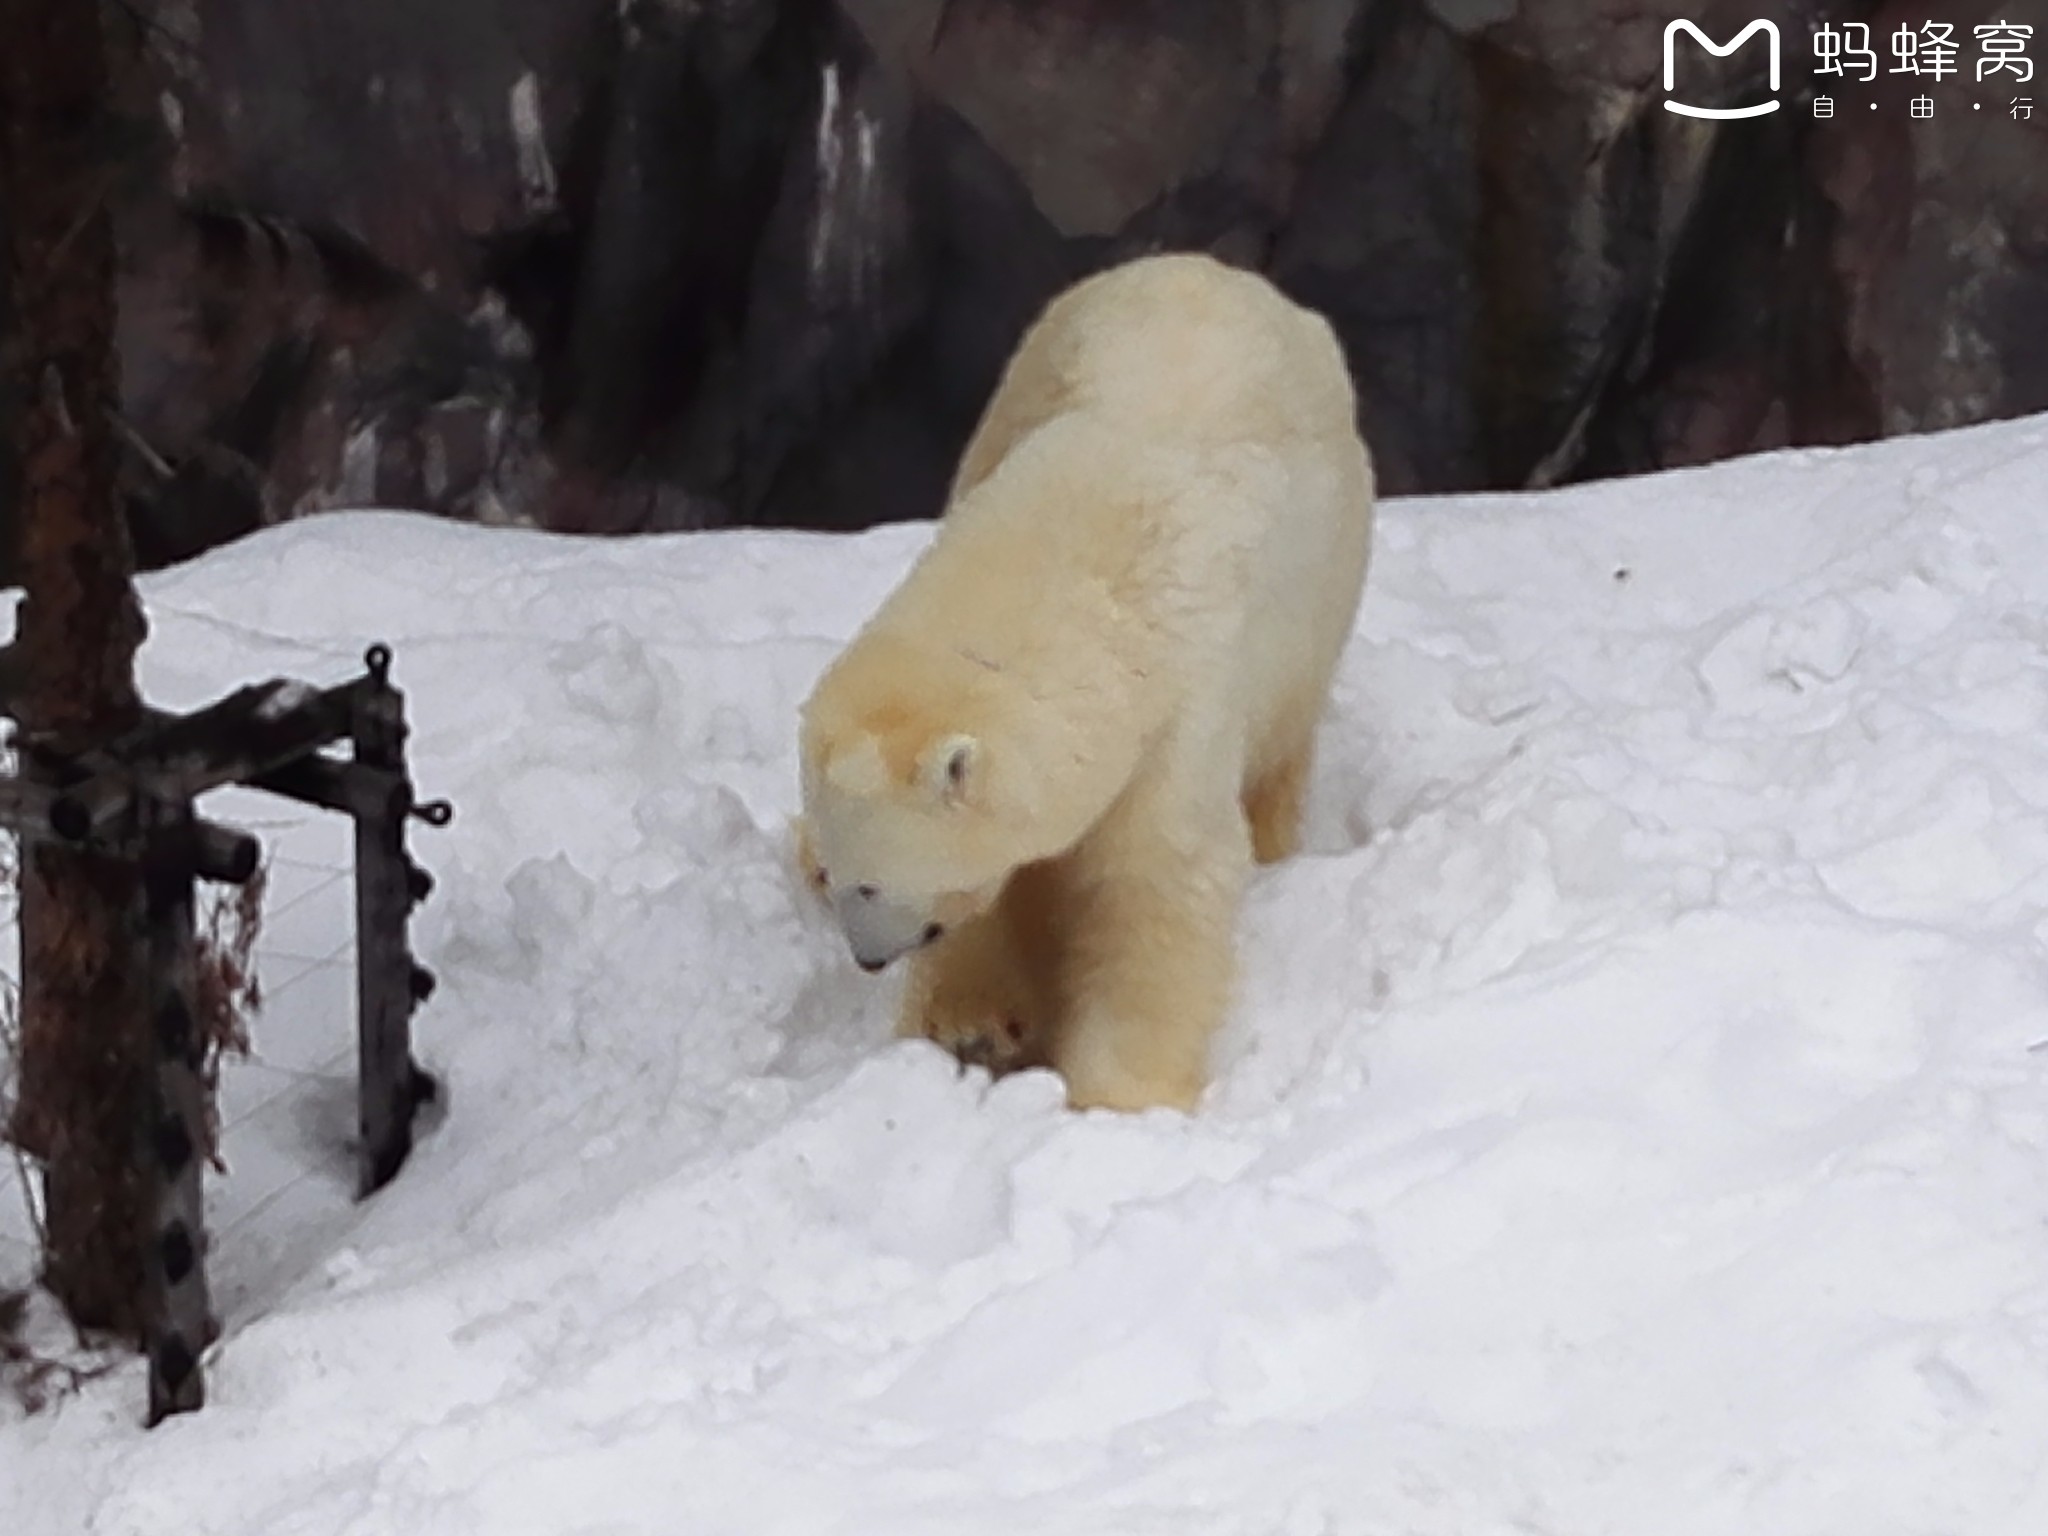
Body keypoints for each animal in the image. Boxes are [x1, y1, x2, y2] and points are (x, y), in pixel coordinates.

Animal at [798, 256, 1376, 1122]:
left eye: (869, 880)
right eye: (844, 876)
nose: (868, 959)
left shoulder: (1183, 719)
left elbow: (1154, 885)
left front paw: (1120, 1096)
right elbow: (1015, 878)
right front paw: (971, 1025)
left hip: (1322, 607)